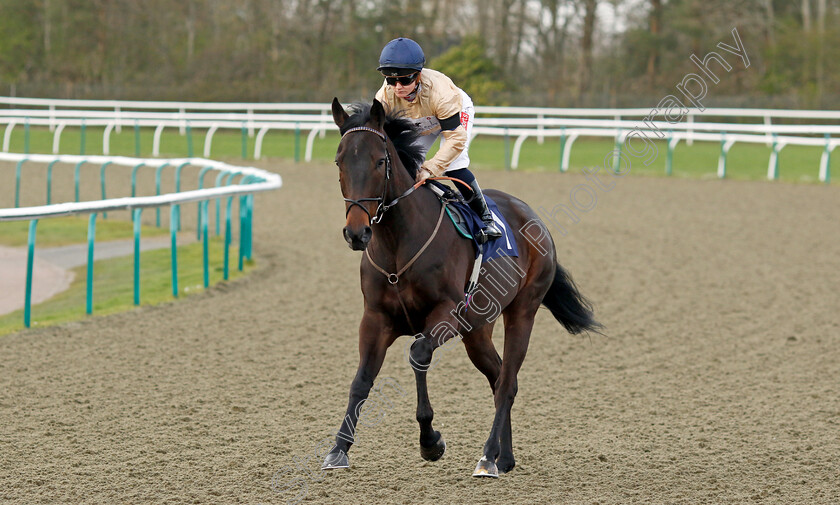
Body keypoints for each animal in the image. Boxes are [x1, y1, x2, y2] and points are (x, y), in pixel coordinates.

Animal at [318, 97, 600, 476]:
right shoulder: (375, 319)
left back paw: (488, 456)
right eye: (340, 161)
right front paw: (338, 450)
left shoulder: (446, 314)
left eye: (380, 161)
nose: (357, 232)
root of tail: (534, 218)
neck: (398, 244)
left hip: (522, 311)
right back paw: (504, 457)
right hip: (477, 329)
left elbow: (418, 354)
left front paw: (431, 441)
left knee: (507, 382)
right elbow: (361, 380)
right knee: (498, 377)